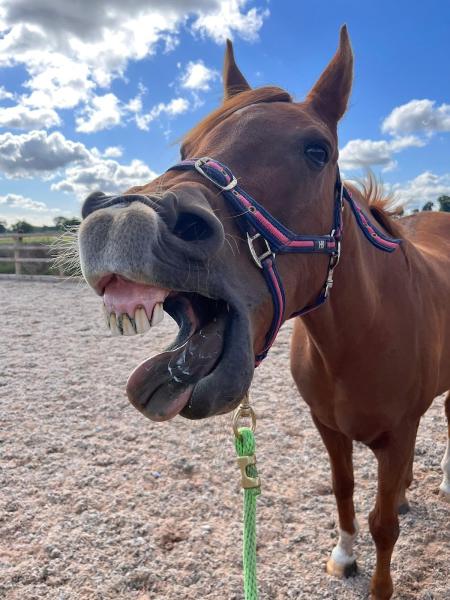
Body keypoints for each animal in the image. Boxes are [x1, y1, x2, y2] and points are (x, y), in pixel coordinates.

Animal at [77, 25, 450, 596]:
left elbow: (383, 524)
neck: (359, 339)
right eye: (187, 147)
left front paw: (379, 585)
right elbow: (343, 489)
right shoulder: (329, 427)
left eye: (317, 150)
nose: (122, 220)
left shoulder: (397, 435)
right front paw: (344, 556)